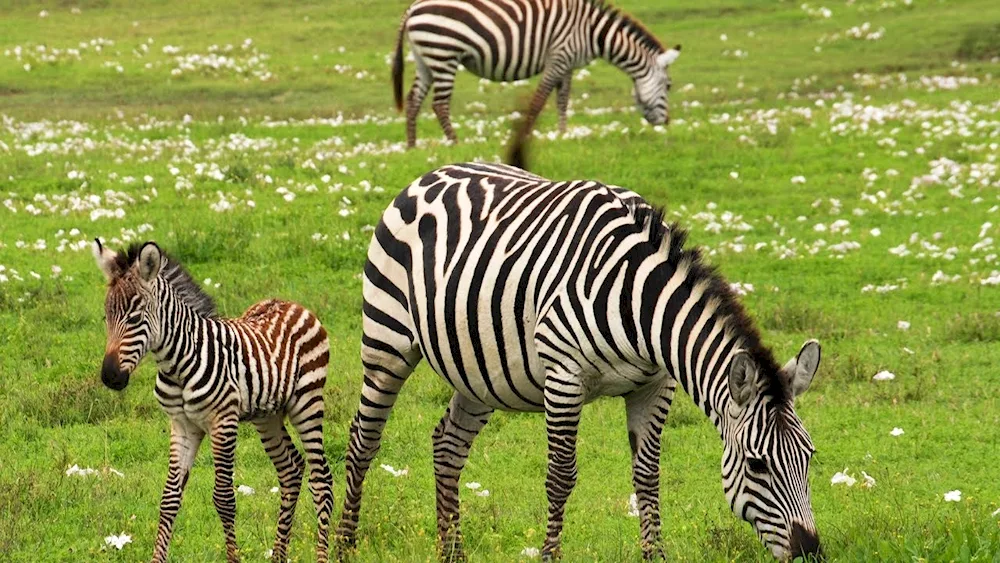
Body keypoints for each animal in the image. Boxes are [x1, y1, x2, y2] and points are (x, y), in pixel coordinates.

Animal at [340, 162, 824, 560]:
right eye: (757, 465)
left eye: (809, 456)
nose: (809, 550)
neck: (638, 302)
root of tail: (429, 174)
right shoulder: (564, 375)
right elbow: (561, 476)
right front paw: (549, 554)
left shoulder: (656, 385)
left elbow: (647, 476)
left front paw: (655, 555)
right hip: (387, 338)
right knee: (363, 439)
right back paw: (345, 544)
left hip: (478, 371)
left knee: (447, 445)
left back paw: (452, 552)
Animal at [394, 0, 684, 148]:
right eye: (669, 86)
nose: (666, 122)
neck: (594, 32)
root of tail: (413, 8)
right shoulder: (559, 57)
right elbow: (539, 100)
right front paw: (527, 135)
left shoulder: (568, 65)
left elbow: (562, 100)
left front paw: (563, 134)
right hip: (444, 53)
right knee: (439, 104)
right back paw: (456, 142)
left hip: (425, 58)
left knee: (413, 99)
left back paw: (411, 145)